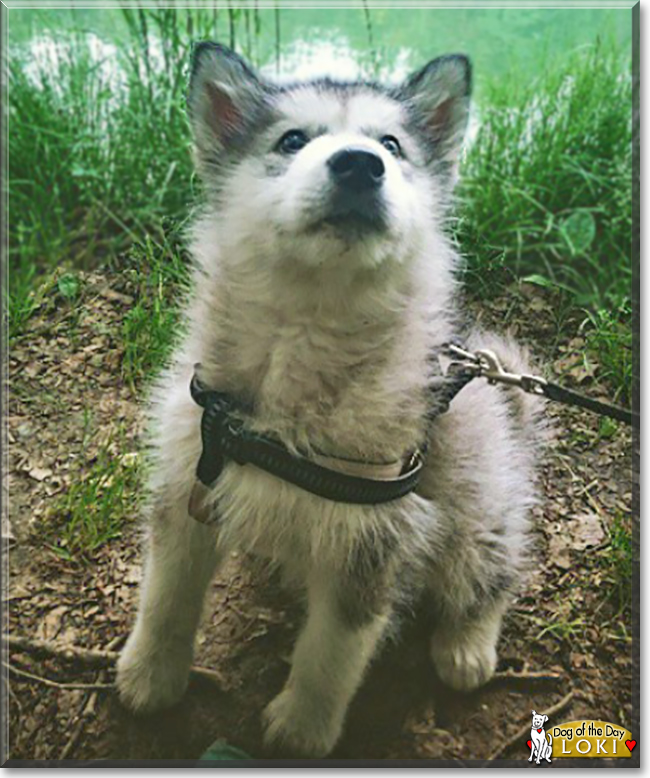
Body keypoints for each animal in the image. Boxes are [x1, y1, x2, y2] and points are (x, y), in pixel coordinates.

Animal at [116, 41, 540, 752]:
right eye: (291, 140)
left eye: (392, 145)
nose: (359, 165)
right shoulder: (187, 485)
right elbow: (166, 597)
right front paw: (149, 675)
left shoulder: (376, 541)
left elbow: (331, 653)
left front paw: (302, 729)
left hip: (477, 506)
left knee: (491, 570)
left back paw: (466, 645)